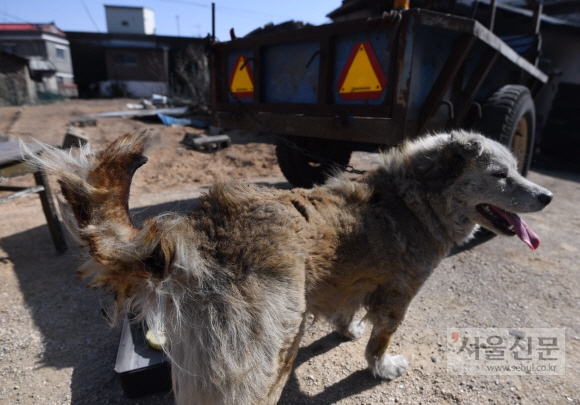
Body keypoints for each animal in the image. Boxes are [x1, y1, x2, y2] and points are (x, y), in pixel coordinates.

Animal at [24, 130, 552, 404]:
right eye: (500, 175)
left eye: (516, 170)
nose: (547, 195)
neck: (412, 197)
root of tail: (202, 226)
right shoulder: (398, 298)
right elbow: (380, 342)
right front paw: (381, 367)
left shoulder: (351, 282)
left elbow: (346, 312)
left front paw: (347, 331)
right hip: (273, 356)